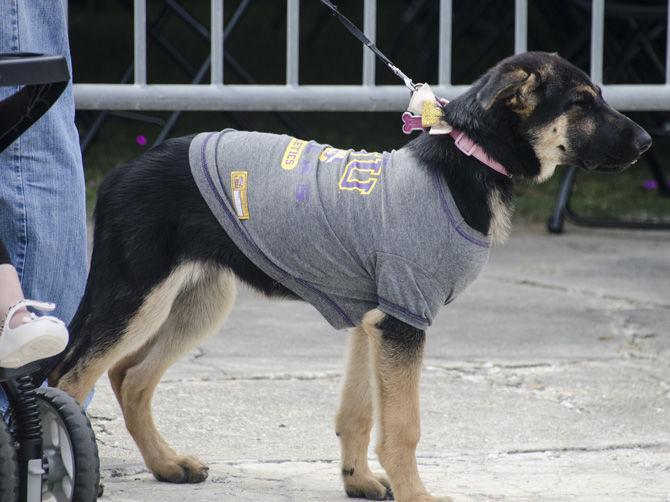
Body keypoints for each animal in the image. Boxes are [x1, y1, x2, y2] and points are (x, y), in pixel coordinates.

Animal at [51, 53, 652, 500]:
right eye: (581, 103)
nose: (648, 143)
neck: (469, 158)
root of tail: (119, 174)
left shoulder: (376, 321)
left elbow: (359, 412)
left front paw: (357, 480)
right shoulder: (405, 320)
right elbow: (403, 427)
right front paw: (418, 496)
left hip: (199, 301)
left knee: (131, 377)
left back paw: (167, 464)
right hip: (139, 297)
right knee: (69, 378)